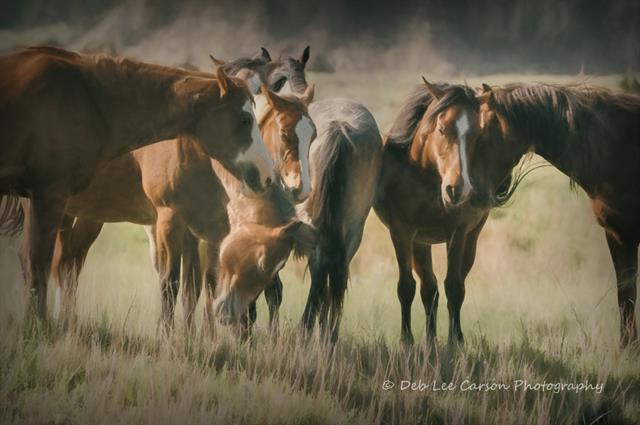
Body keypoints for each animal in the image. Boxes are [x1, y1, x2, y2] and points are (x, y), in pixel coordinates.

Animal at [0, 46, 272, 323]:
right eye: (245, 119)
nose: (266, 173)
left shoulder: (210, 228)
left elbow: (200, 285)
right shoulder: (171, 218)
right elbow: (174, 283)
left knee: (66, 262)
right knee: (53, 263)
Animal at [373, 79, 507, 346]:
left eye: (477, 134)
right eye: (442, 129)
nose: (456, 189)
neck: (425, 179)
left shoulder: (457, 233)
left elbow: (454, 287)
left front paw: (455, 341)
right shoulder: (402, 232)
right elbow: (407, 287)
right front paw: (406, 340)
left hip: (470, 238)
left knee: (450, 284)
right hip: (420, 243)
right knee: (429, 287)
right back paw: (429, 338)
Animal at [472, 82, 640, 347]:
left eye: (480, 138)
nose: (471, 191)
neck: (618, 149)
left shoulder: (625, 235)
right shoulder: (618, 235)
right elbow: (626, 294)